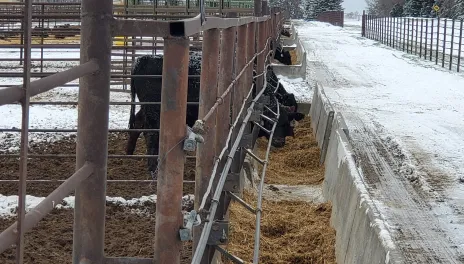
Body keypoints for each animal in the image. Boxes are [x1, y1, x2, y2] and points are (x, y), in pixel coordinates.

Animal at [125, 51, 302, 175]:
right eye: (270, 121)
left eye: (286, 121)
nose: (279, 141)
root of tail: (142, 60)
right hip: (154, 112)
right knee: (151, 134)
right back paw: (153, 168)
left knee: (137, 123)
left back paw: (129, 154)